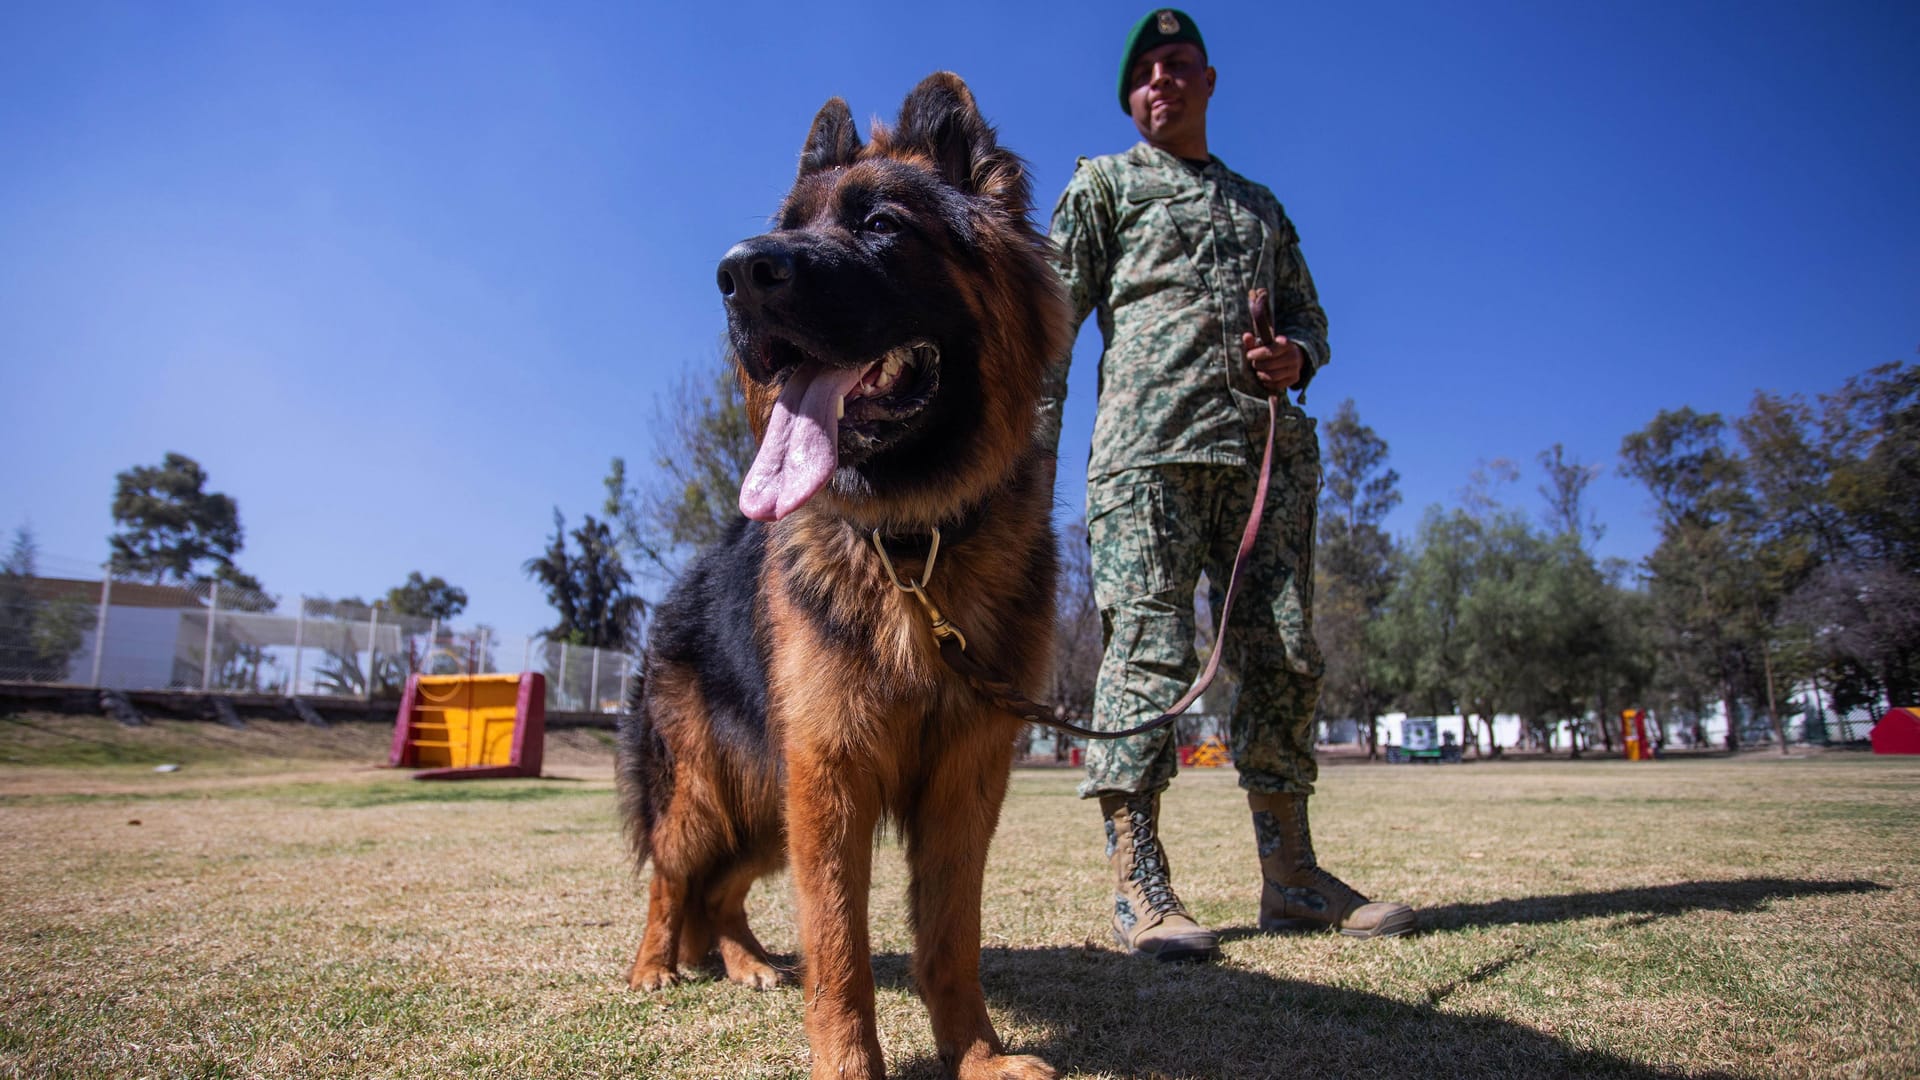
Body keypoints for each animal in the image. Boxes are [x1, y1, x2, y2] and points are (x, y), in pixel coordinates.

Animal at [614, 75, 1067, 1076]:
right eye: (787, 227)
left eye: (881, 225)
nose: (738, 272)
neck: (912, 546)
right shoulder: (831, 775)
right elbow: (840, 951)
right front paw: (851, 1065)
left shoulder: (963, 781)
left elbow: (951, 938)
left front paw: (977, 1055)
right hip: (713, 794)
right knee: (672, 876)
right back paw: (654, 967)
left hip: (763, 807)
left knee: (721, 893)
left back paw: (744, 963)